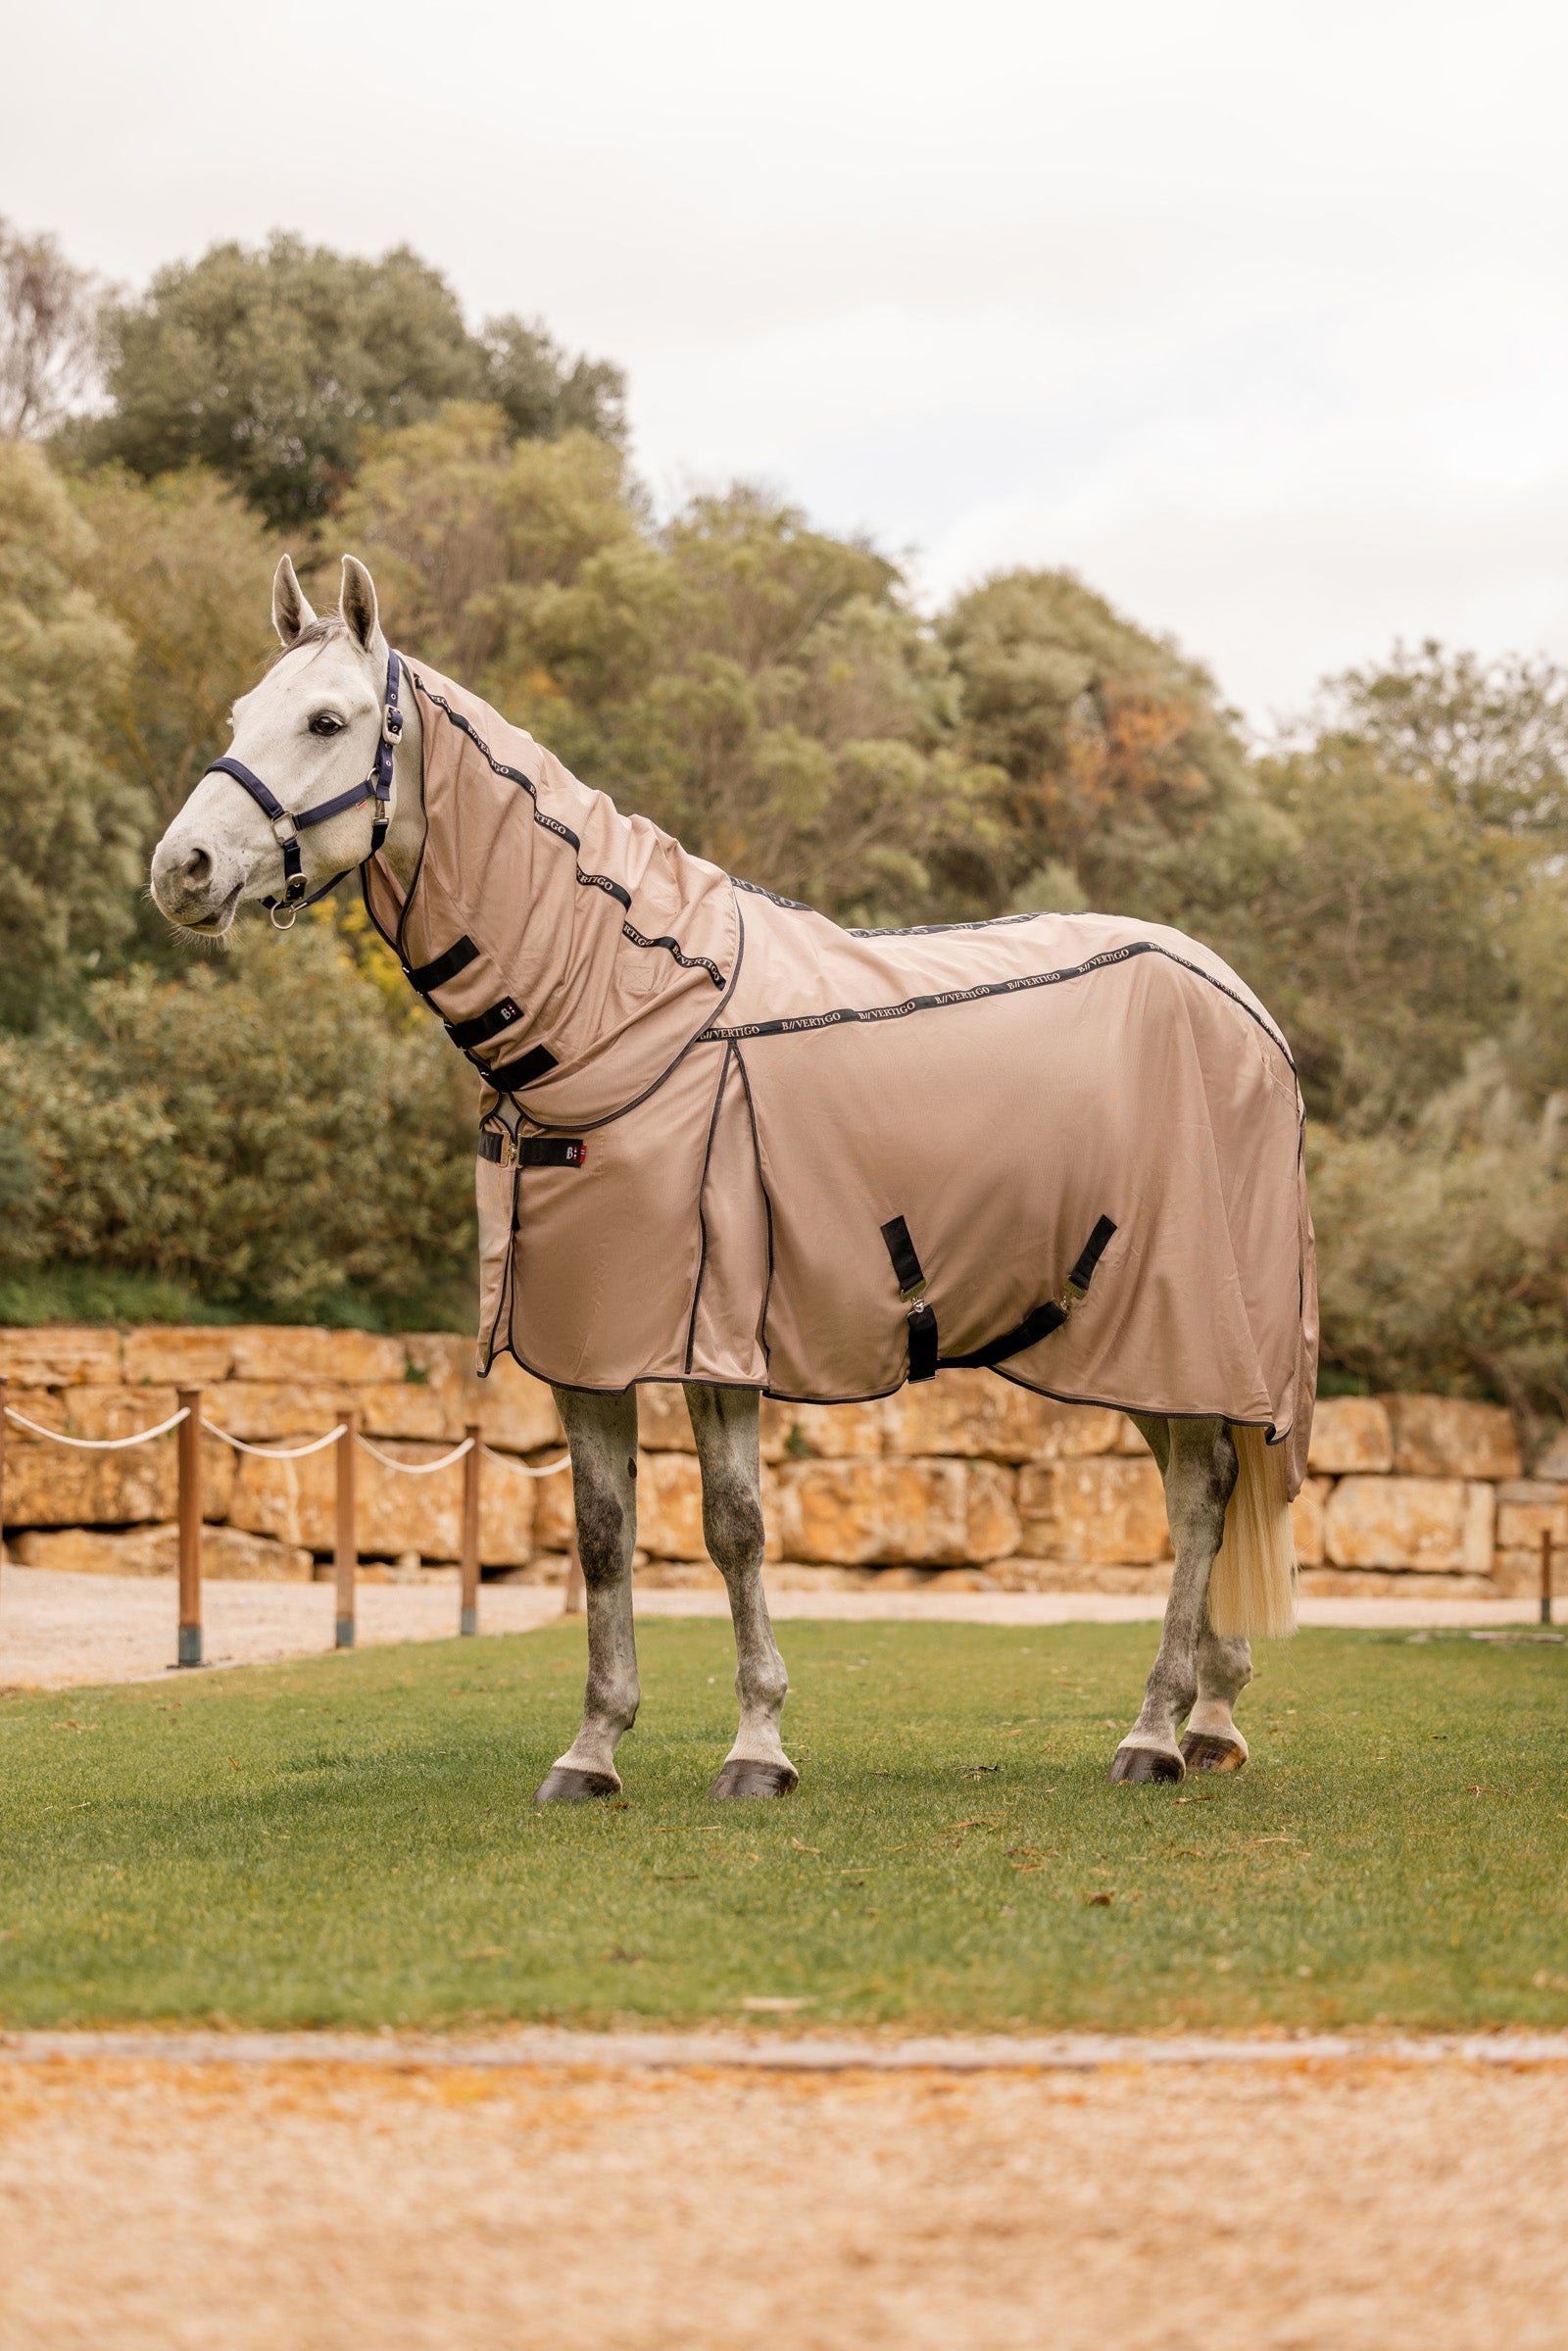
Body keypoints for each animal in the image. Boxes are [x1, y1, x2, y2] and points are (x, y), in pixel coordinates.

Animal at [150, 552, 1316, 1800]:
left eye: (327, 720)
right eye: (241, 715)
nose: (180, 869)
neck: (626, 1016)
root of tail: (1244, 1009)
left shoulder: (717, 1335)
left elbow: (734, 1523)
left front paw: (756, 1746)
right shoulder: (584, 1344)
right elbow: (602, 1530)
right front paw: (592, 1748)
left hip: (1183, 1325)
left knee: (1200, 1498)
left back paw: (1153, 1731)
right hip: (1134, 1345)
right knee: (1200, 1489)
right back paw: (1208, 1719)